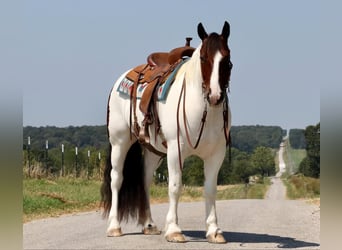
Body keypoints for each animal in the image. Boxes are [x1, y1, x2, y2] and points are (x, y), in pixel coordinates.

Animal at [99, 22, 232, 244]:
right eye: (203, 58)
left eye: (227, 60)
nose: (215, 96)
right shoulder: (175, 151)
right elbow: (175, 187)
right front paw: (174, 230)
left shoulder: (216, 154)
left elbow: (210, 190)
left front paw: (214, 231)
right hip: (120, 142)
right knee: (116, 179)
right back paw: (114, 226)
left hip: (153, 151)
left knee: (145, 181)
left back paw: (149, 225)